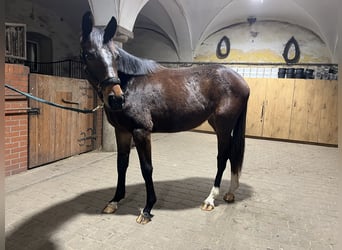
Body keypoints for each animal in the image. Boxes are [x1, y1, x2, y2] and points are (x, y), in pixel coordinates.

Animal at [81, 11, 250, 224]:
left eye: (116, 56)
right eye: (89, 54)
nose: (116, 98)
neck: (132, 83)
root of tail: (241, 80)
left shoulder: (141, 131)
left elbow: (147, 168)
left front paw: (147, 209)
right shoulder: (122, 131)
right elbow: (121, 164)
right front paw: (115, 201)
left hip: (223, 126)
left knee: (223, 157)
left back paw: (210, 199)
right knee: (233, 155)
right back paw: (230, 192)